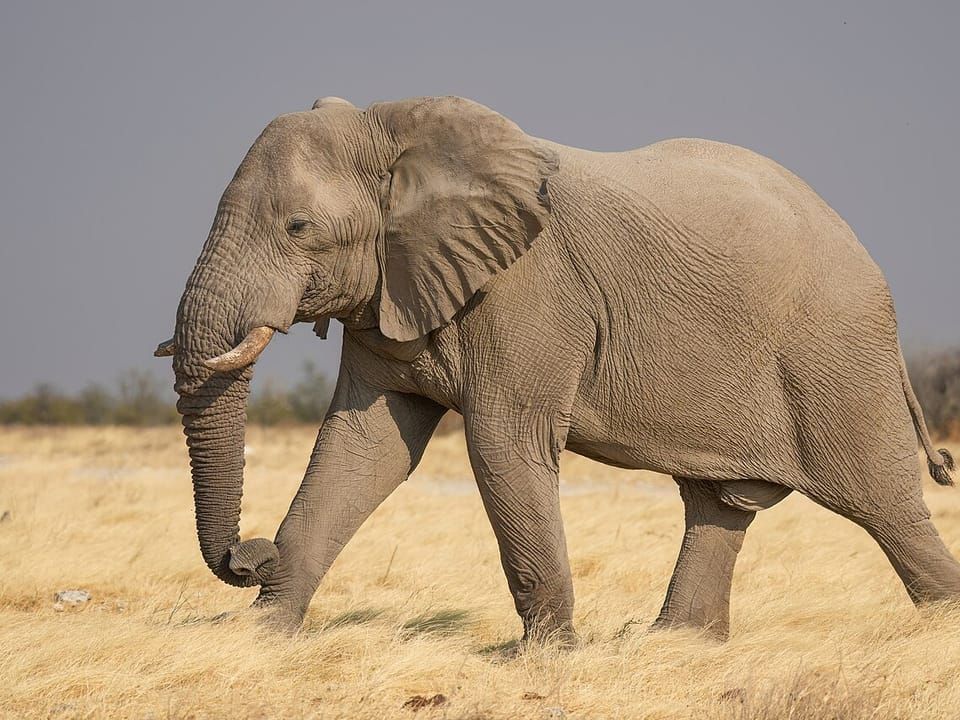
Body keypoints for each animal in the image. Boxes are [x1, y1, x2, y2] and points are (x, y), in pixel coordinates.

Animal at [156, 95, 960, 642]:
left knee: (884, 504)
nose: (249, 556)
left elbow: (502, 445)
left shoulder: (530, 294)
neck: (398, 127)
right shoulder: (394, 287)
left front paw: (541, 656)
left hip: (836, 353)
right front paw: (261, 637)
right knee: (719, 504)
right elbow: (363, 448)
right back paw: (670, 644)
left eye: (299, 228)